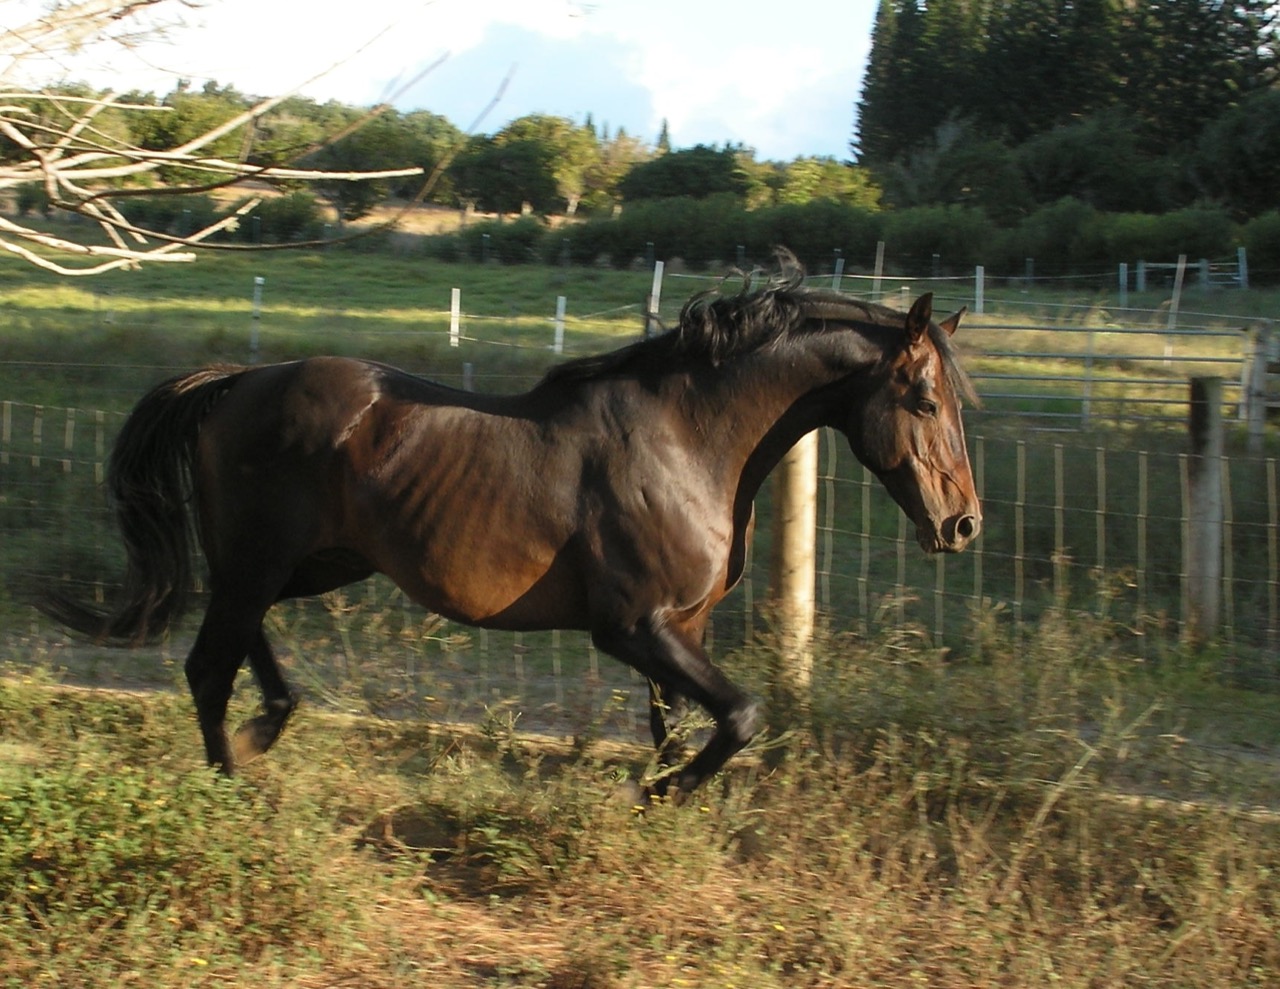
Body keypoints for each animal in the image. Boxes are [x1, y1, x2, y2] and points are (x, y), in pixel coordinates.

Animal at [40, 261, 977, 793]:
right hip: (259, 558)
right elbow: (740, 715)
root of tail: (236, 382)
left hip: (309, 561)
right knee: (207, 665)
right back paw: (232, 785)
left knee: (242, 646)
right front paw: (659, 798)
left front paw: (661, 808)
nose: (961, 523)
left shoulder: (684, 628)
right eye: (925, 400)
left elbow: (675, 728)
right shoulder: (632, 627)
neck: (684, 439)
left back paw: (266, 726)